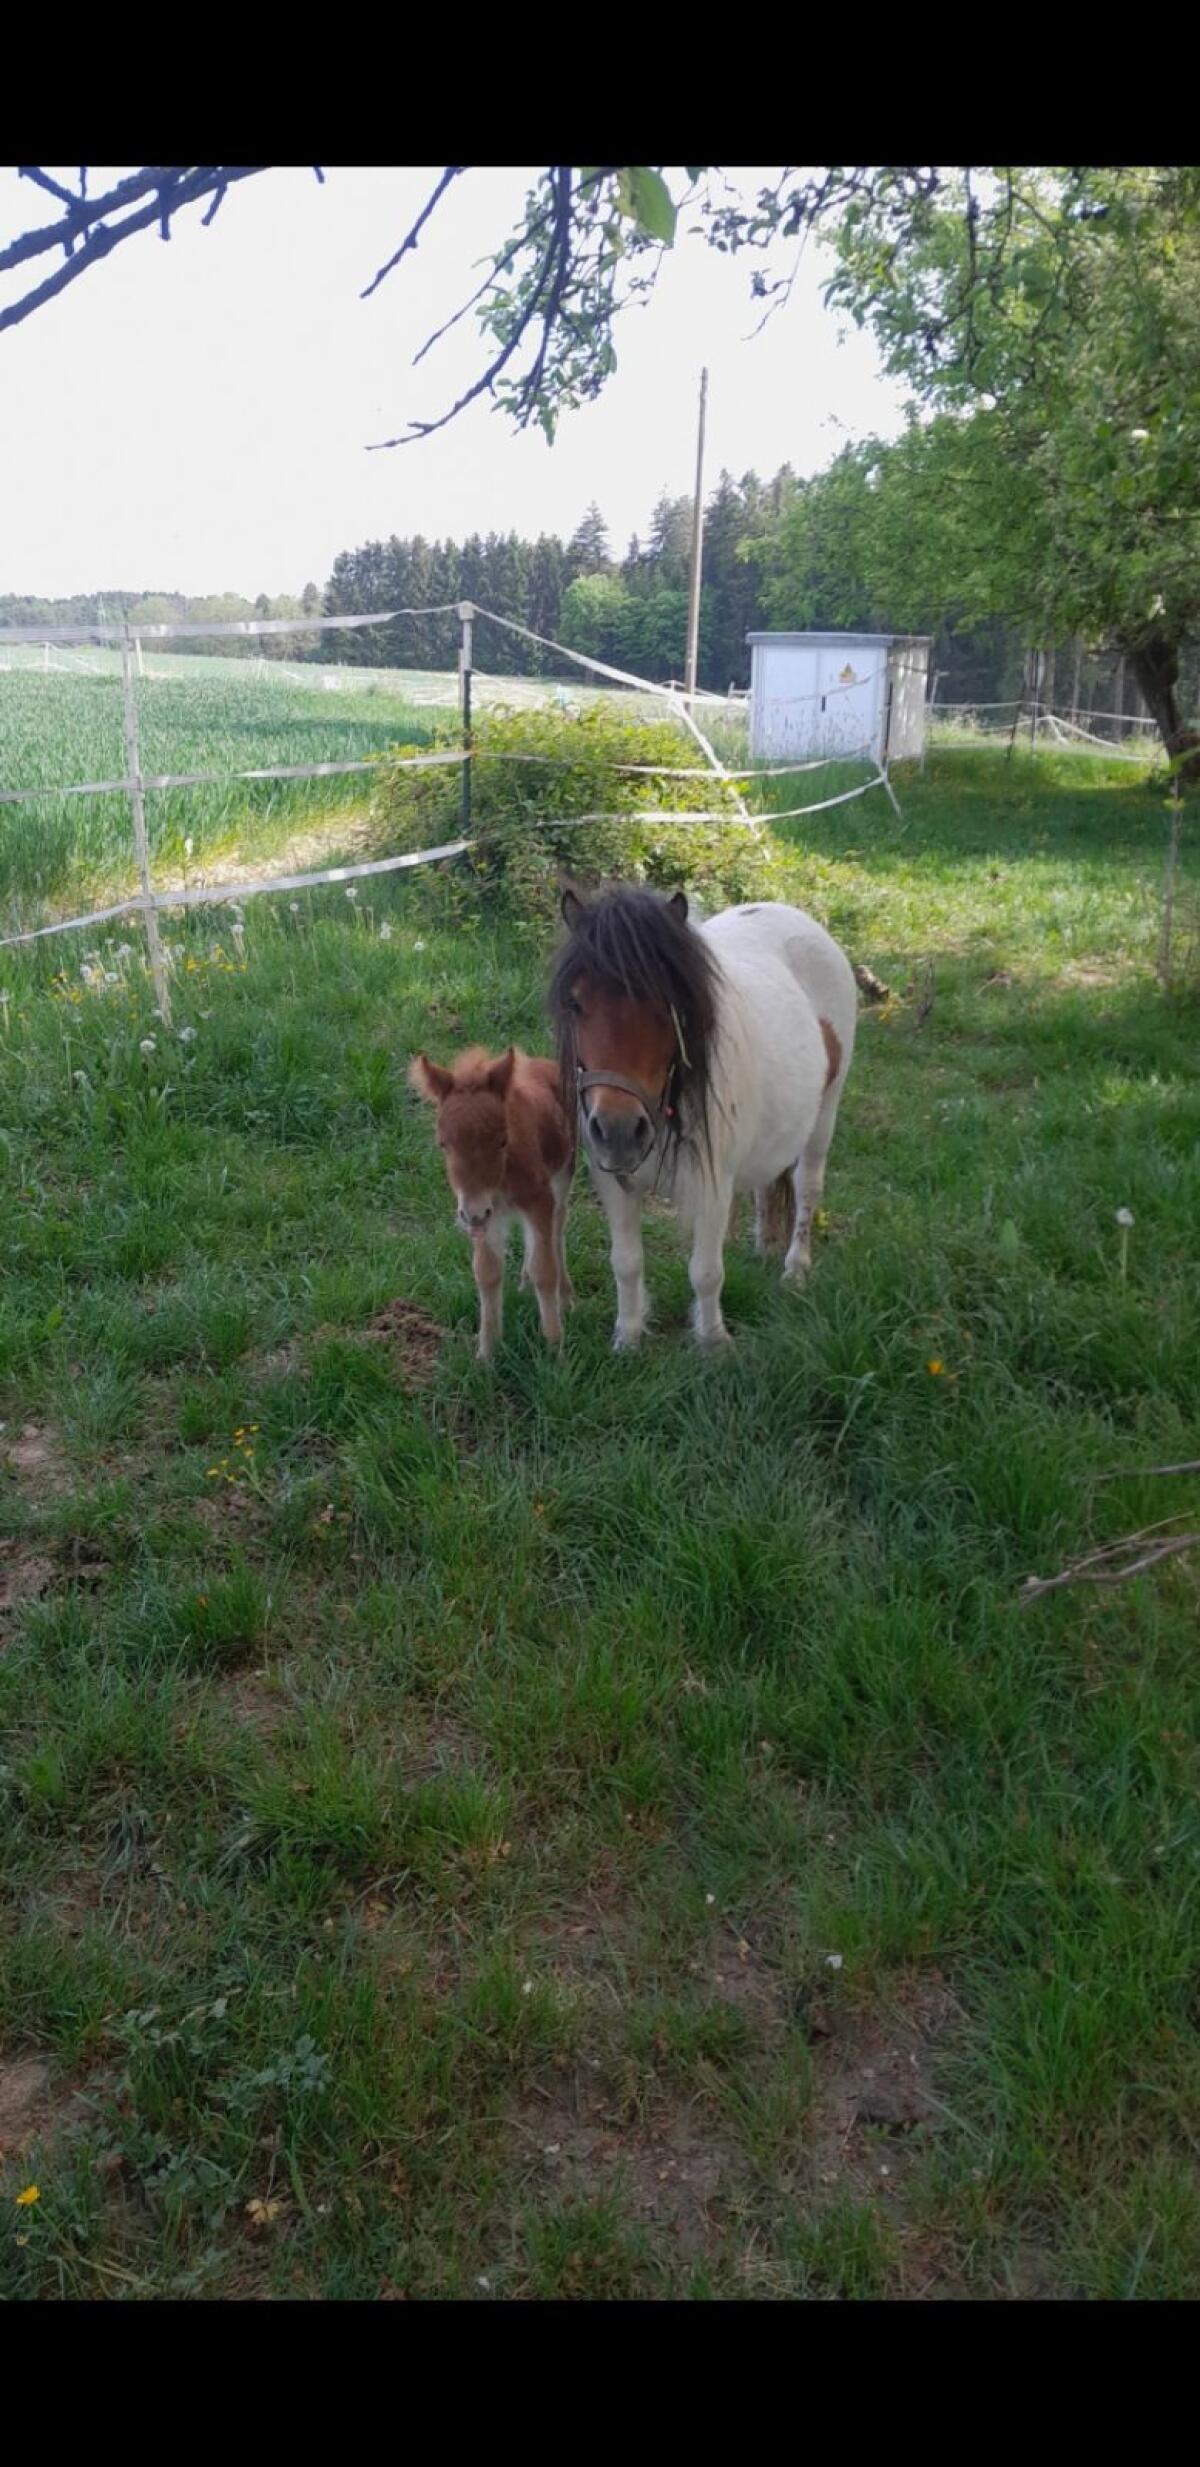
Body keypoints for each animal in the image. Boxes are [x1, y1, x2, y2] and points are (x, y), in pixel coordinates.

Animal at [408, 1044, 575, 1362]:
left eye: (502, 1140)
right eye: (443, 1144)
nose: (472, 1213)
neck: (502, 1179)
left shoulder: (538, 1199)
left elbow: (545, 1269)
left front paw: (555, 1350)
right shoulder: (488, 1215)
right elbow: (486, 1272)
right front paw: (486, 1353)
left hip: (562, 1176)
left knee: (557, 1228)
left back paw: (565, 1295)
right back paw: (524, 1281)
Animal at [549, 886, 856, 1350]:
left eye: (667, 1002)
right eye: (575, 1002)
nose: (619, 1131)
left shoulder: (712, 1185)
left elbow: (706, 1272)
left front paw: (713, 1342)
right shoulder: (613, 1182)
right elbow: (626, 1262)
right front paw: (628, 1337)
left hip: (823, 1117)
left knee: (807, 1189)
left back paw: (795, 1269)